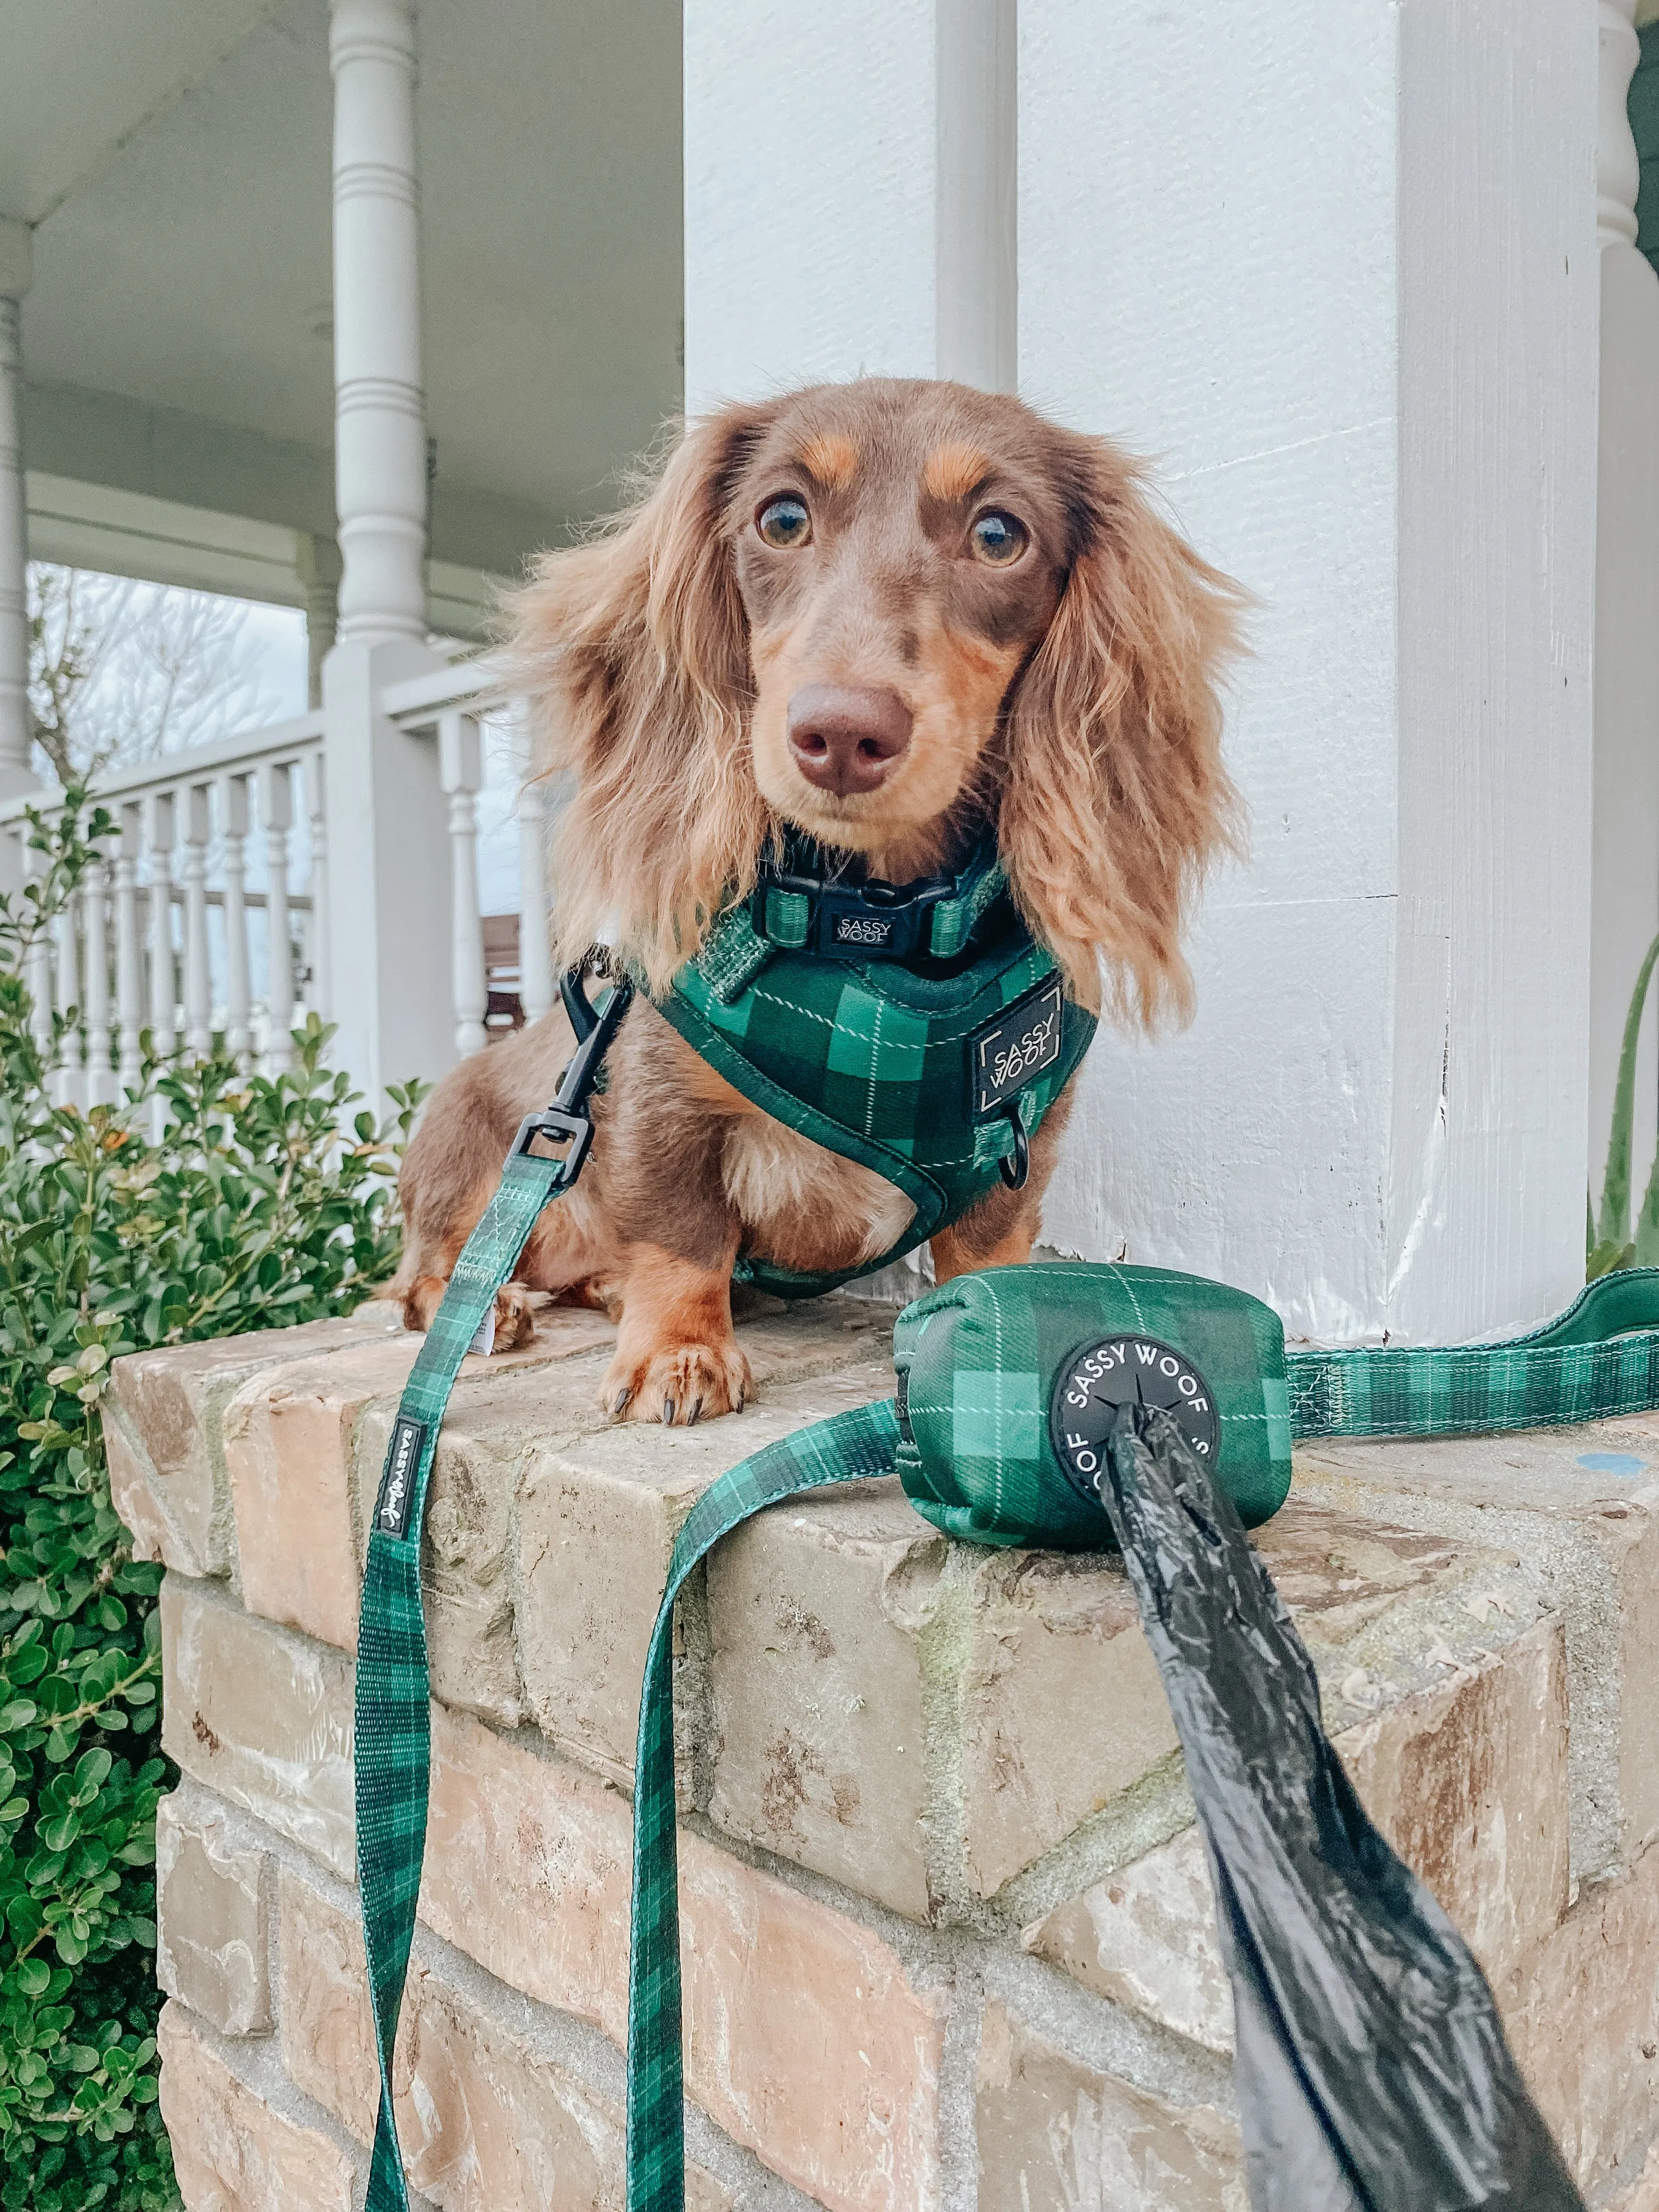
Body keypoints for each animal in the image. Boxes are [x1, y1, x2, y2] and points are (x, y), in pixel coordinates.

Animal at [393, 376, 1248, 1415]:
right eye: (782, 518)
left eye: (998, 534)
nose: (842, 734)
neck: (873, 934)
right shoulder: (656, 1103)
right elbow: (680, 1231)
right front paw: (678, 1350)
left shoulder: (1018, 1147)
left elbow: (988, 1251)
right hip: (475, 1161)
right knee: (424, 1278)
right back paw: (498, 1307)